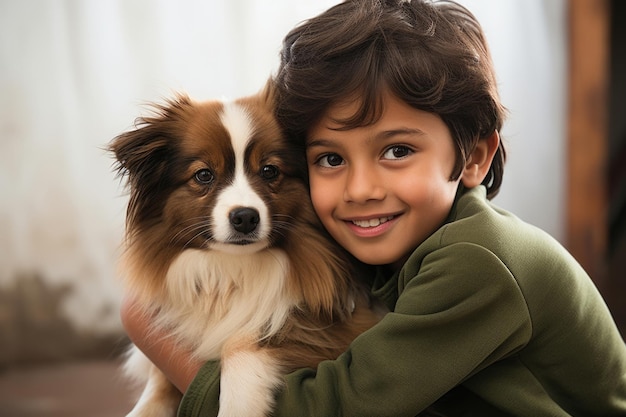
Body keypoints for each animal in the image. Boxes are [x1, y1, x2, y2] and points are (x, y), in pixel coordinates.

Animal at [110, 82, 382, 416]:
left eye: (269, 171)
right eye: (204, 175)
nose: (245, 218)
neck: (231, 267)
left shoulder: (340, 325)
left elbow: (241, 341)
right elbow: (157, 385)